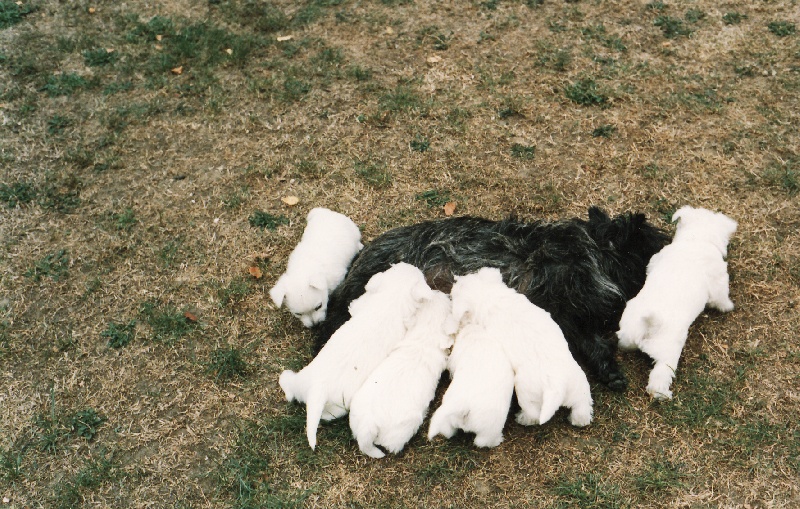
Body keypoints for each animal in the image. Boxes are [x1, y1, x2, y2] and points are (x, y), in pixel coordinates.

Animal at [312, 206, 668, 388]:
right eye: (651, 237)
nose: (672, 241)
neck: (595, 250)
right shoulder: (561, 305)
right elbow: (590, 340)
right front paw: (611, 371)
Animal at [450, 268, 592, 426]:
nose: (454, 279)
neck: (490, 296)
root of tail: (557, 384)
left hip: (526, 392)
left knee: (533, 414)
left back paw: (522, 418)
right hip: (578, 384)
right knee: (582, 404)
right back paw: (580, 419)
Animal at [620, 204, 736, 398]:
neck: (696, 240)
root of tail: (648, 326)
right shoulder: (719, 283)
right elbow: (721, 298)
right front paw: (728, 307)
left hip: (627, 332)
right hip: (667, 356)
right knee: (658, 381)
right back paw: (663, 395)